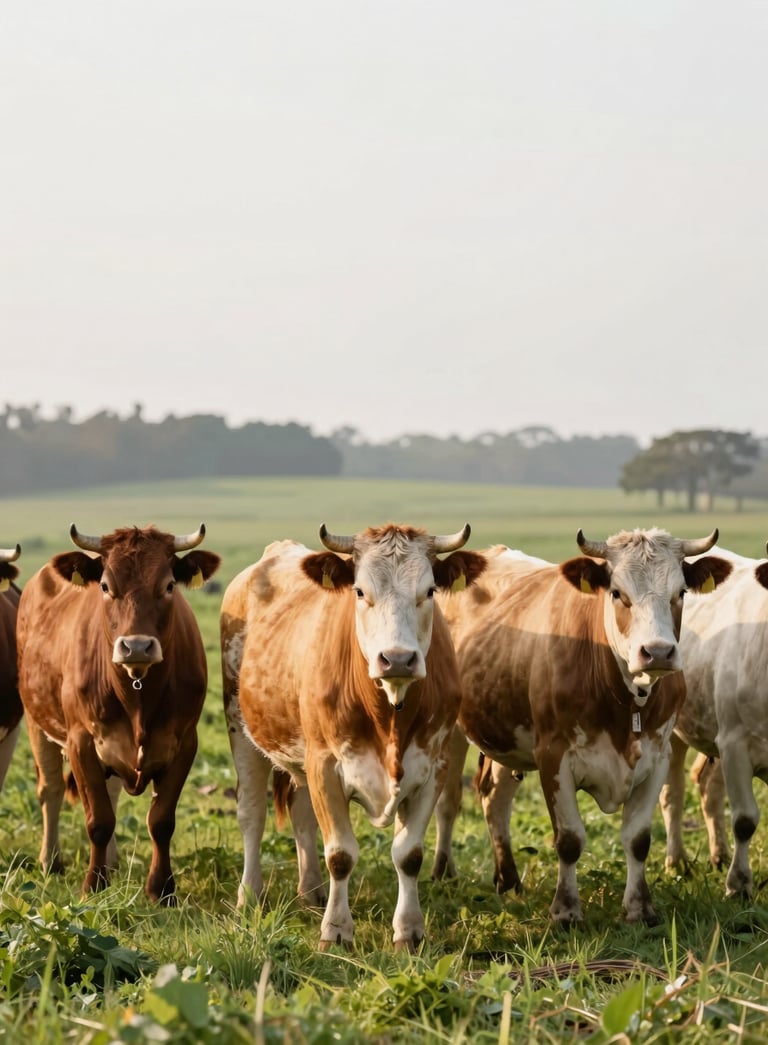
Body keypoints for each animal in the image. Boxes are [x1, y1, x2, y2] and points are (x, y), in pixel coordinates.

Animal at [16, 523, 220, 903]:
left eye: (169, 585)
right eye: (106, 586)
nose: (136, 646)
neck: (137, 695)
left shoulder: (184, 743)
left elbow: (161, 821)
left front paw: (161, 889)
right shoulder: (81, 741)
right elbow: (99, 820)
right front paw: (93, 885)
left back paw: (110, 864)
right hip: (37, 723)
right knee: (50, 790)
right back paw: (51, 861)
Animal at [221, 522, 486, 951]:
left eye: (429, 590)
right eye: (360, 591)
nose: (398, 659)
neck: (388, 713)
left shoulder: (434, 766)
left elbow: (409, 854)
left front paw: (409, 930)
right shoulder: (325, 764)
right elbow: (340, 854)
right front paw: (336, 930)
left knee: (301, 813)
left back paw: (311, 891)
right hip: (240, 727)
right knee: (252, 814)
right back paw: (251, 895)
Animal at [432, 528, 732, 925]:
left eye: (680, 592)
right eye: (617, 592)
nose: (657, 652)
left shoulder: (657, 757)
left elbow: (638, 839)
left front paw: (640, 908)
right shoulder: (553, 756)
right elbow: (569, 839)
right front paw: (566, 911)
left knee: (495, 796)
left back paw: (508, 880)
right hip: (450, 730)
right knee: (449, 801)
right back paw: (442, 872)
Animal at [659, 543, 768, 898]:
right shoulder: (736, 743)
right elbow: (745, 820)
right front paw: (739, 885)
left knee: (709, 787)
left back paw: (719, 854)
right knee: (673, 794)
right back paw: (676, 861)